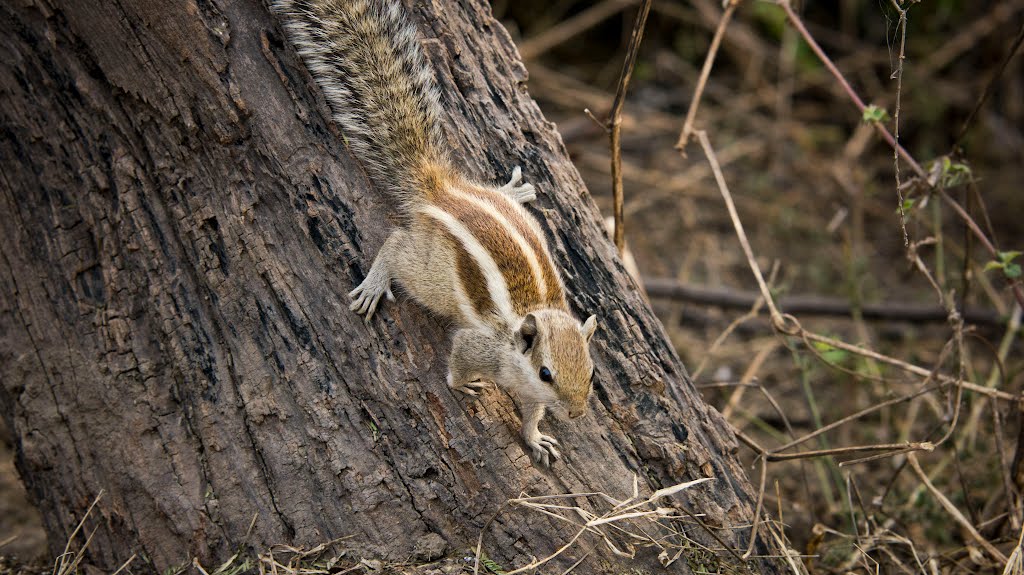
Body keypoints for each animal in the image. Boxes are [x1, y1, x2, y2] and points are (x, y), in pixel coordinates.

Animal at [274, 0, 598, 466]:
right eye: (546, 372)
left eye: (591, 373)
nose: (575, 414)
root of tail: (442, 192)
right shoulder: (479, 345)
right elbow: (459, 363)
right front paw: (463, 384)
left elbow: (532, 413)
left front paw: (536, 437)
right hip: (432, 279)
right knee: (396, 246)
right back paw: (375, 283)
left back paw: (512, 192)